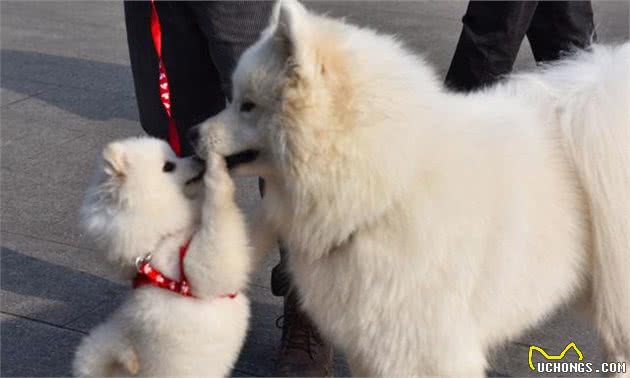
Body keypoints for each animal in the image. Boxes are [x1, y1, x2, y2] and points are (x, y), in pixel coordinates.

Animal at [74, 137, 252, 376]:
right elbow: (219, 212)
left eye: (175, 155)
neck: (162, 237)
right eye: (168, 166)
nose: (197, 158)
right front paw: (217, 168)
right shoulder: (203, 266)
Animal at [195, 1, 628, 376]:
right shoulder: (371, 343)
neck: (388, 188)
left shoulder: (429, 347)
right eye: (234, 99)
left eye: (247, 105)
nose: (193, 132)